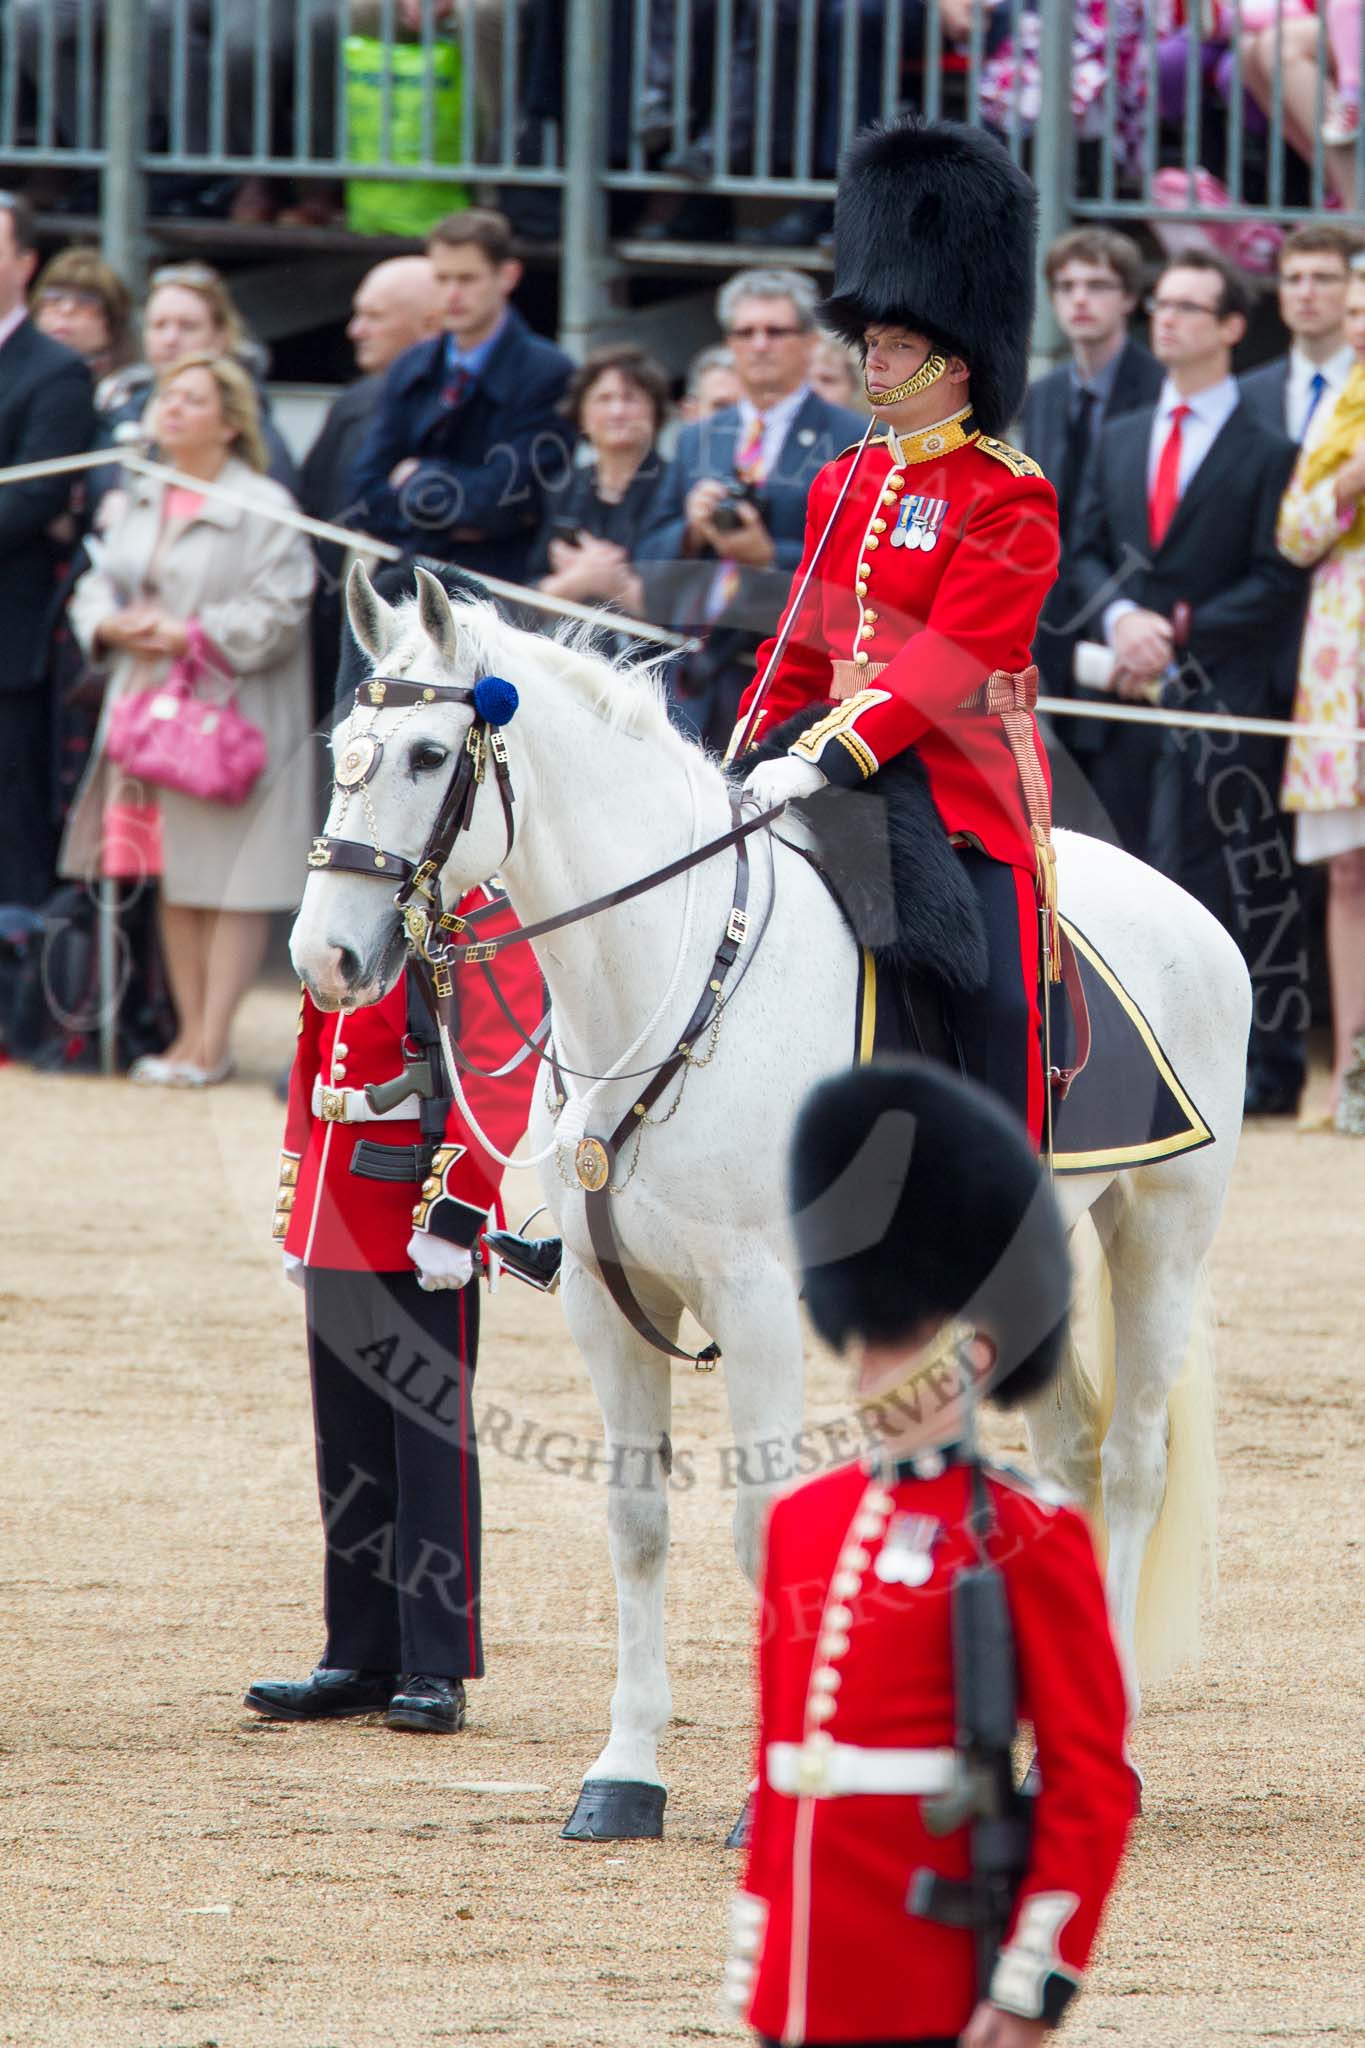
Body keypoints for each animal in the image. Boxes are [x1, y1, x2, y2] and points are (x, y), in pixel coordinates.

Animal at [294, 573, 1252, 1843]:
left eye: (425, 752)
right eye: (338, 754)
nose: (326, 956)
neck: (667, 978)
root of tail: (1188, 909)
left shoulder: (755, 1304)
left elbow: (758, 1527)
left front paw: (774, 1792)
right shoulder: (605, 1303)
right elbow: (638, 1524)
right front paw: (625, 1770)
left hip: (1161, 1232)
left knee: (1136, 1460)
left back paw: (1106, 1747)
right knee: (1068, 1452)